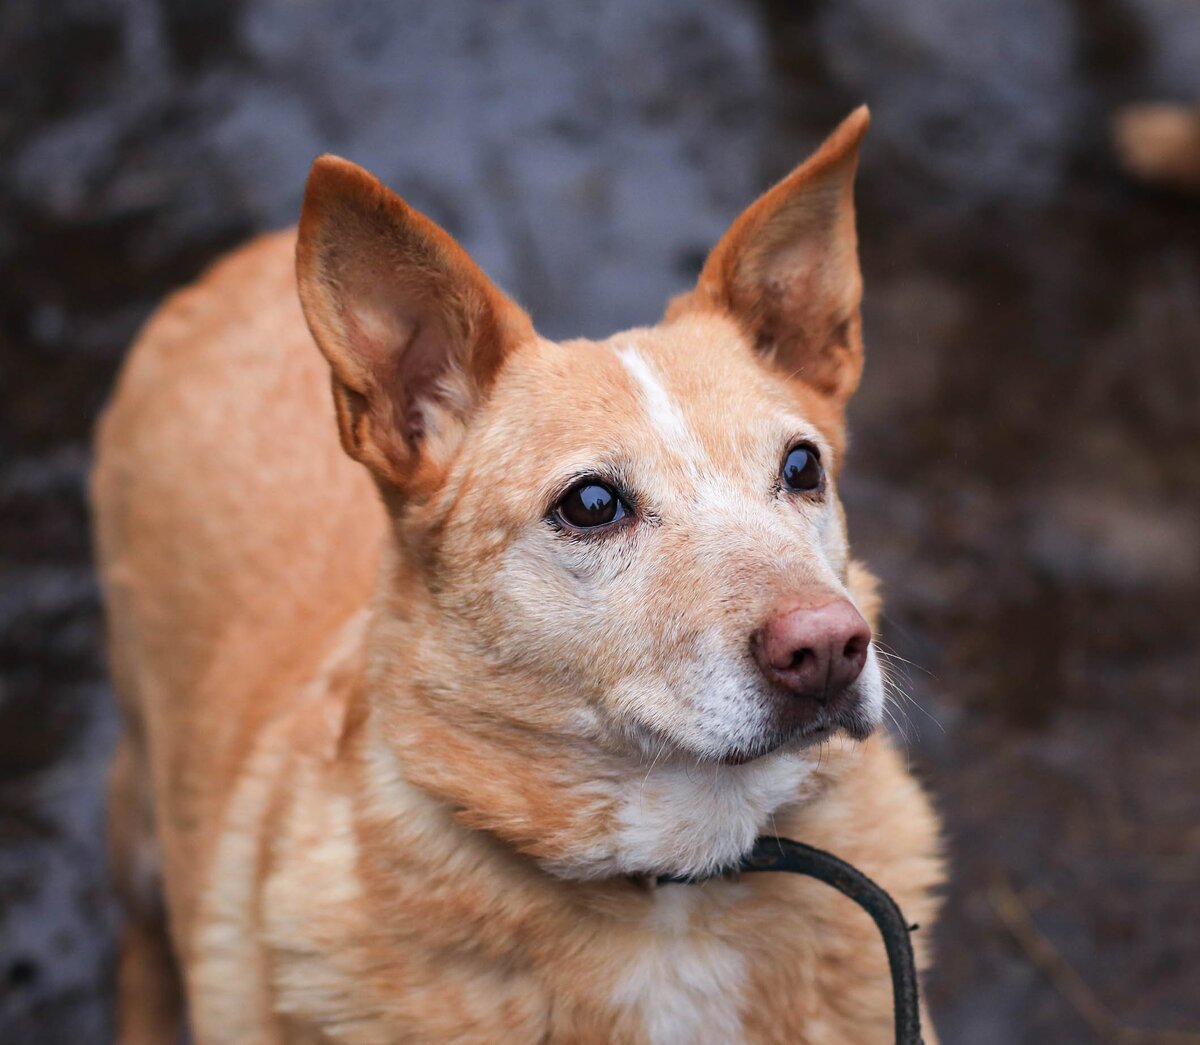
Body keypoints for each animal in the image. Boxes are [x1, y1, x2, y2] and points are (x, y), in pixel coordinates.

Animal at [91, 108, 936, 1045]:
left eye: (801, 466)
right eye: (592, 502)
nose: (828, 647)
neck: (674, 897)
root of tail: (250, 253)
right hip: (138, 805)